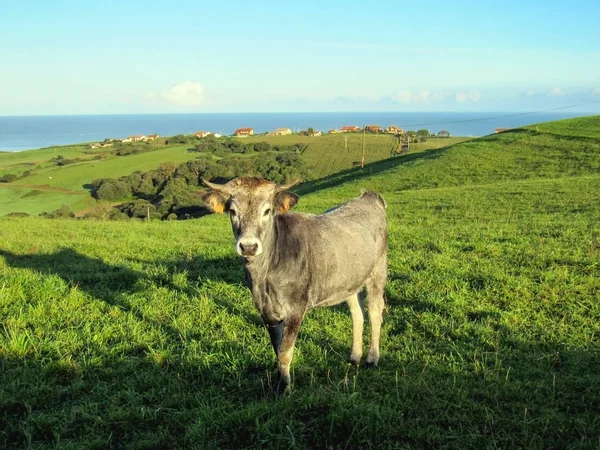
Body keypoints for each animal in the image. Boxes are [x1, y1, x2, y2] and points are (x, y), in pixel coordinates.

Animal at [202, 178, 390, 392]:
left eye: (267, 211)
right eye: (233, 211)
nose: (248, 247)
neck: (264, 277)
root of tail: (368, 196)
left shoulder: (296, 308)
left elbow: (285, 351)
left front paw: (285, 388)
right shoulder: (267, 311)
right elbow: (277, 350)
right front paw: (280, 383)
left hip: (378, 272)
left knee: (375, 312)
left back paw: (372, 358)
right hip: (349, 281)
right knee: (357, 315)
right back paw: (354, 357)